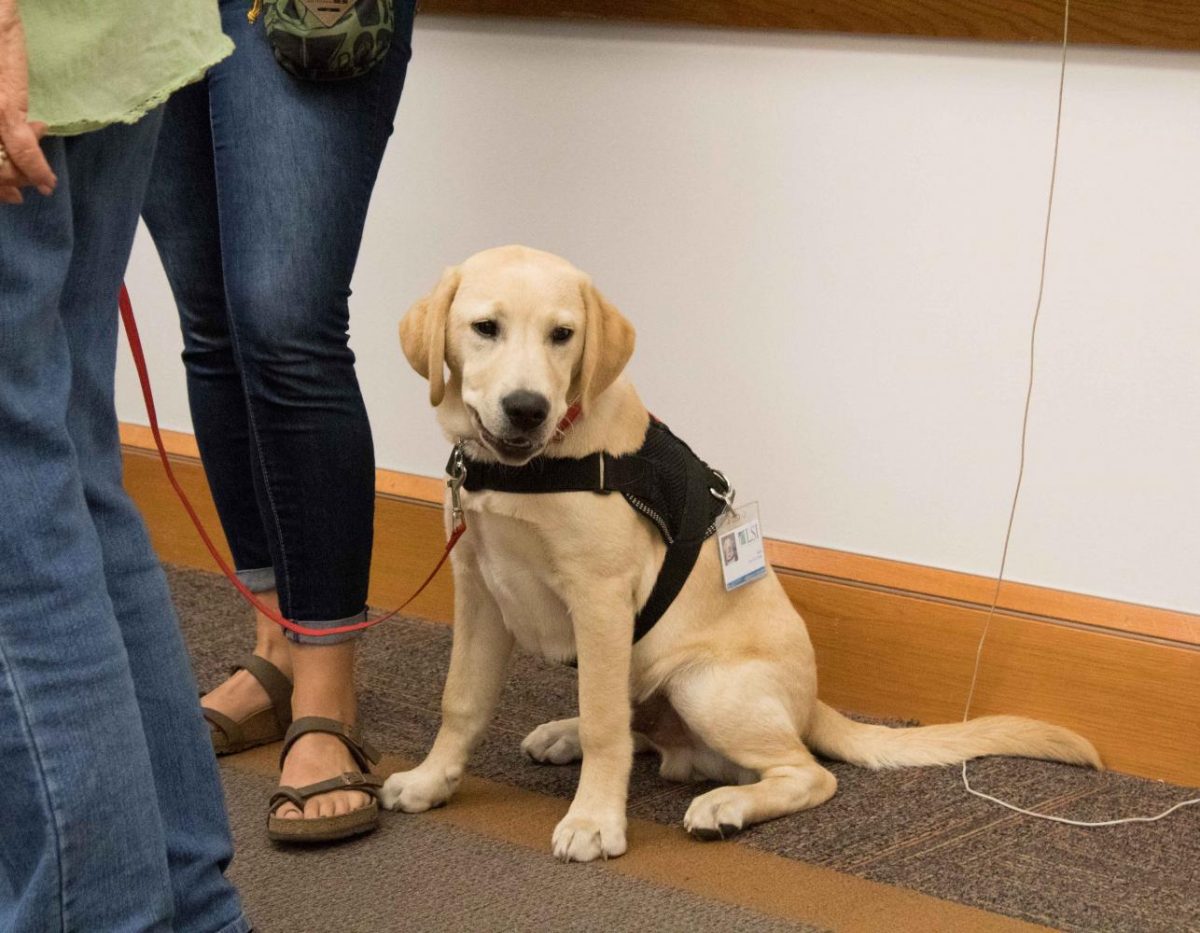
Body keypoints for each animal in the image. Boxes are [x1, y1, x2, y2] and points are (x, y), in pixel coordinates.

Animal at [379, 245, 1099, 858]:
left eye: (563, 335)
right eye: (485, 327)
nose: (527, 408)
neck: (533, 467)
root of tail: (810, 702)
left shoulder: (601, 598)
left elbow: (606, 725)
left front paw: (594, 821)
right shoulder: (478, 586)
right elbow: (462, 700)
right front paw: (431, 780)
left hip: (703, 682)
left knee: (803, 771)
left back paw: (724, 804)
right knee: (643, 730)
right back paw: (565, 734)